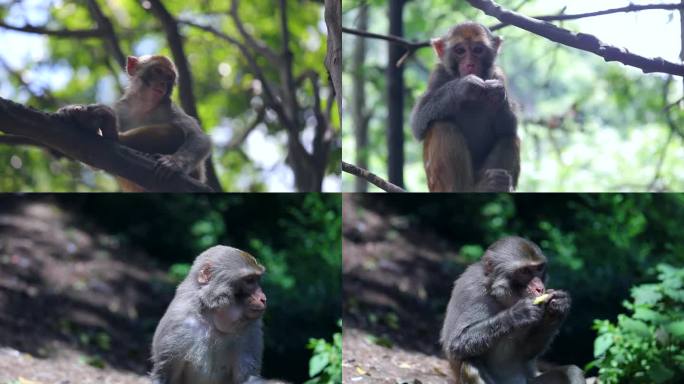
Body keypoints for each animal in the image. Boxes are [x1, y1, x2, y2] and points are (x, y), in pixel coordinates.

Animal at [56, 54, 211, 191]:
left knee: (175, 131)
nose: (163, 83)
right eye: (158, 71)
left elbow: (199, 137)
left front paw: (174, 163)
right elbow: (93, 160)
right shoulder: (121, 108)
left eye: (169, 77)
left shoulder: (170, 107)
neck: (143, 106)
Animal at [151, 246, 268, 384]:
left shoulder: (252, 329)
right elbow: (164, 375)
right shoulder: (177, 325)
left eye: (257, 280)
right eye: (249, 280)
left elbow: (248, 378)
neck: (211, 320)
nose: (263, 299)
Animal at [408, 21, 520, 192]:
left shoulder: (497, 74)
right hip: (436, 185)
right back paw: (464, 188)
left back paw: (494, 185)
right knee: (442, 125)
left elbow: (508, 127)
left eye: (478, 50)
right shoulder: (438, 75)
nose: (470, 64)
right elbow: (418, 123)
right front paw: (462, 87)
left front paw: (498, 93)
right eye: (460, 51)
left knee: (509, 138)